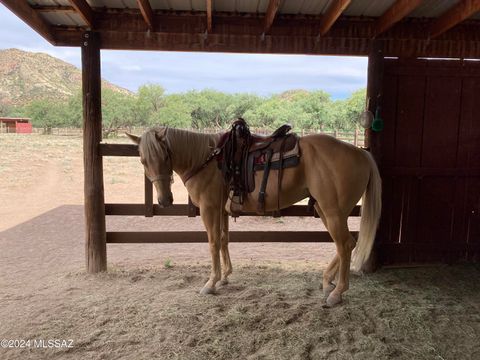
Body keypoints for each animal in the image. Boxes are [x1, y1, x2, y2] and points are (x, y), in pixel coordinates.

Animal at [127, 126, 382, 306]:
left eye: (165, 157)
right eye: (143, 160)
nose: (164, 200)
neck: (207, 160)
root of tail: (360, 153)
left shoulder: (209, 209)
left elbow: (212, 243)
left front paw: (211, 283)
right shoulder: (222, 210)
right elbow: (224, 240)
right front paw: (225, 276)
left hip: (333, 211)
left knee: (345, 244)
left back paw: (337, 293)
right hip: (325, 210)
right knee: (347, 243)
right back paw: (328, 280)